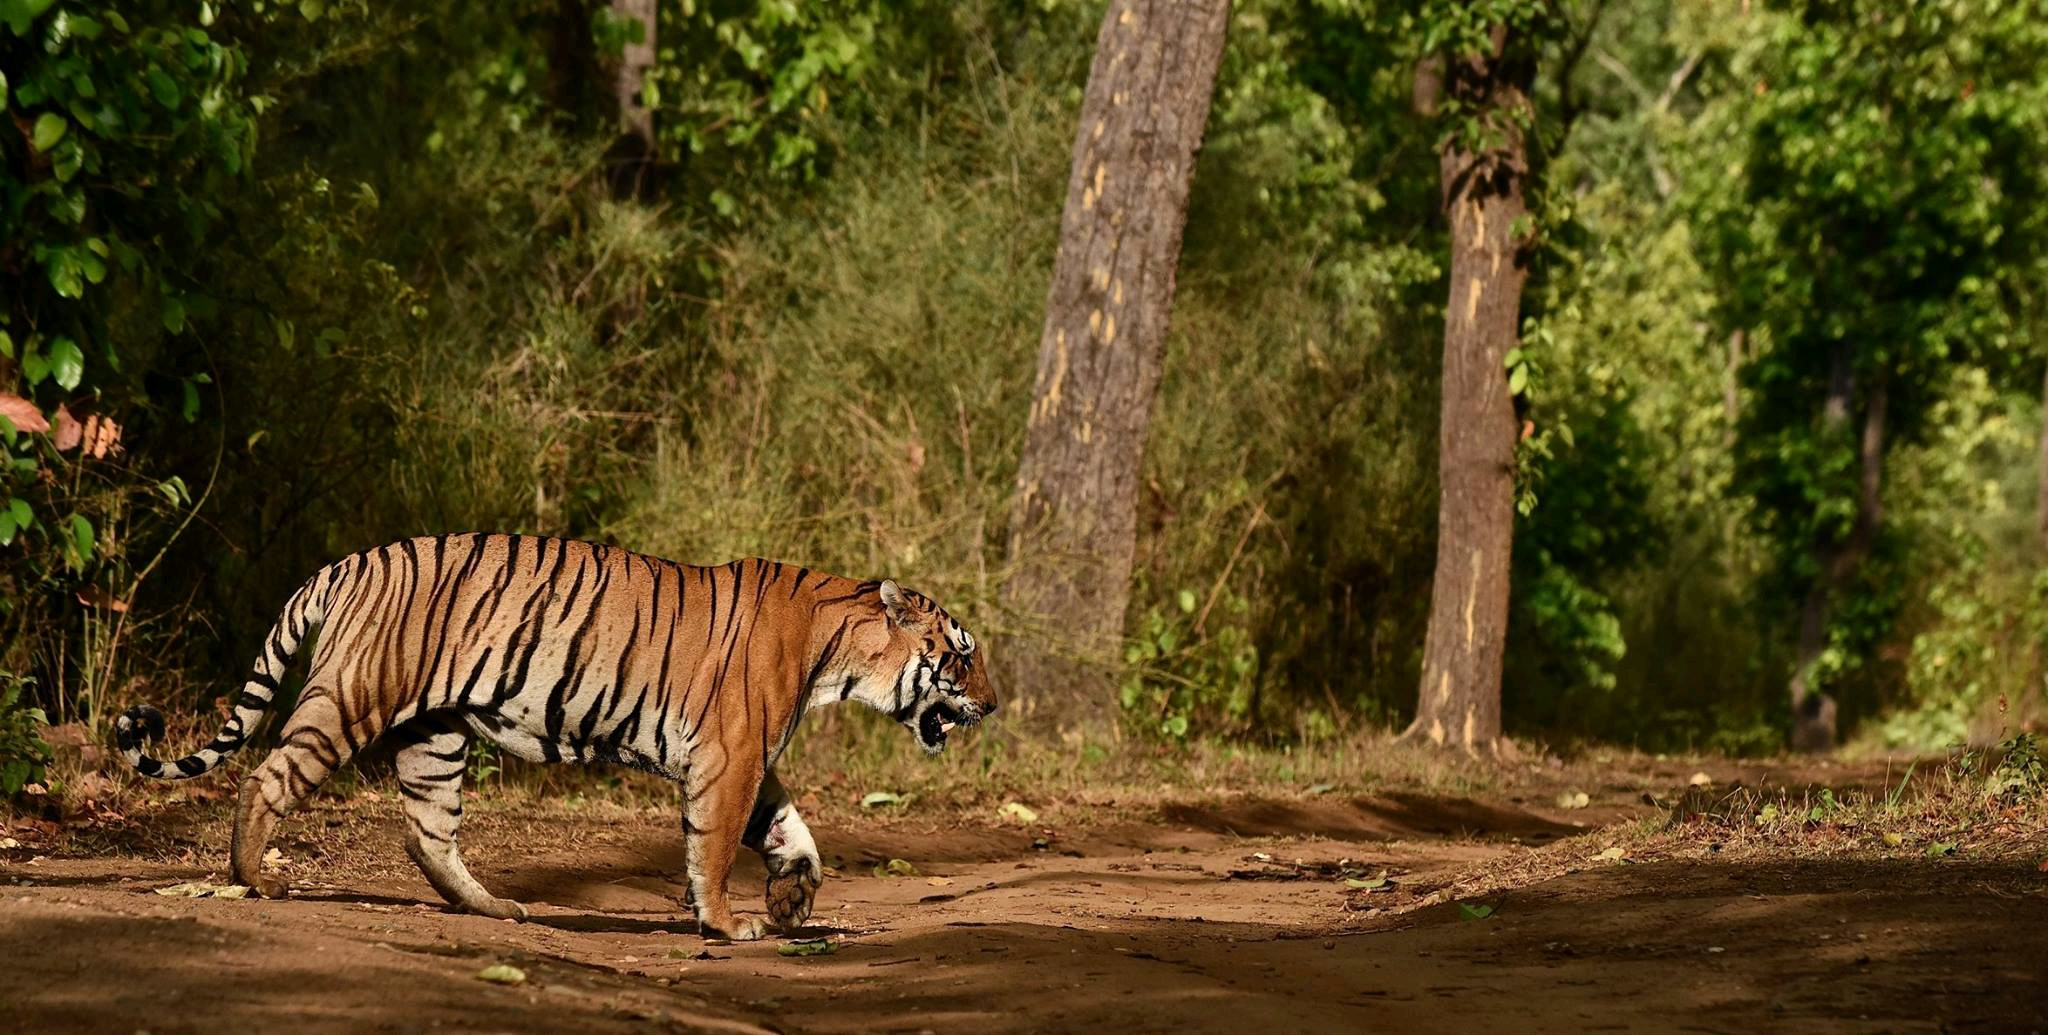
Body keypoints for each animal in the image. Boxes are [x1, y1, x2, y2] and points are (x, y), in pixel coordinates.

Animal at [116, 532, 995, 934]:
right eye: (962, 652)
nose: (992, 703)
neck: (839, 649)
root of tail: (346, 561)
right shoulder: (731, 755)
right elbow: (714, 847)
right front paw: (726, 921)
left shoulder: (748, 762)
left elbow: (793, 832)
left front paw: (793, 896)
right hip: (352, 696)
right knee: (268, 775)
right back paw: (252, 878)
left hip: (436, 735)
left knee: (427, 832)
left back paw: (496, 908)